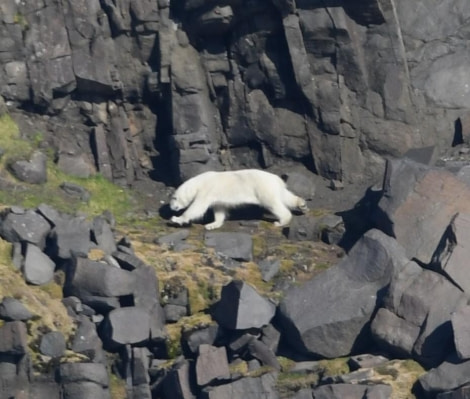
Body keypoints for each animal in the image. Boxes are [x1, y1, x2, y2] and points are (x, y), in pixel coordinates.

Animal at [169, 170, 308, 231]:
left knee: (272, 203)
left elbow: (197, 207)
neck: (198, 183)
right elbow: (219, 209)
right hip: (274, 188)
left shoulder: (206, 191)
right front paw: (212, 225)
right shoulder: (217, 197)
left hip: (262, 187)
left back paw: (281, 221)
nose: (171, 207)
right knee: (285, 196)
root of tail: (277, 179)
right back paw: (302, 204)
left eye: (174, 198)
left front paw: (177, 219)